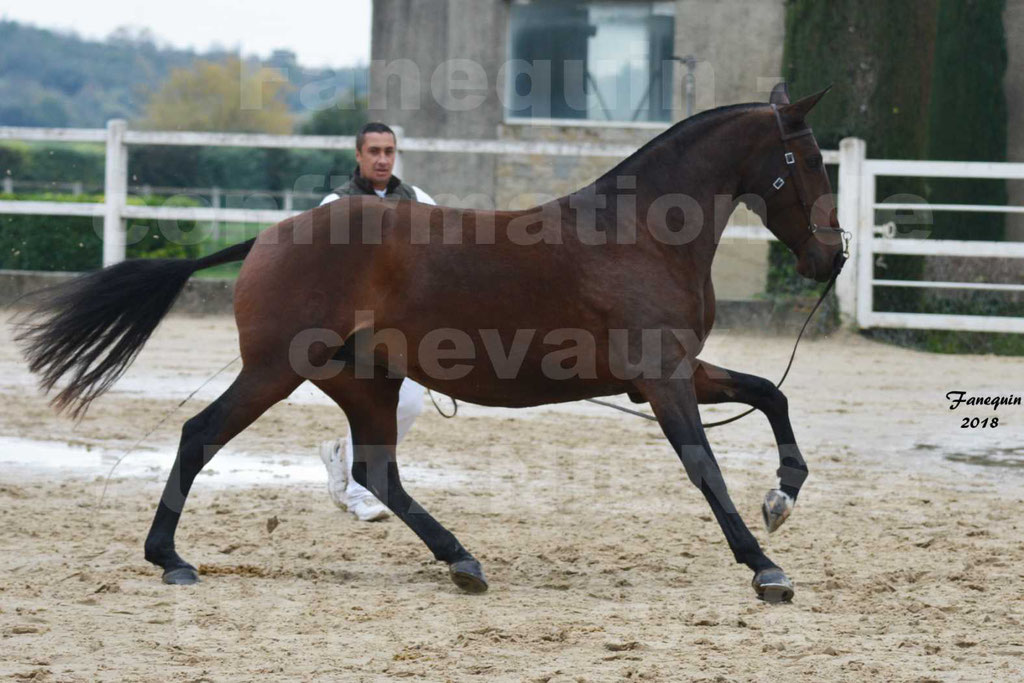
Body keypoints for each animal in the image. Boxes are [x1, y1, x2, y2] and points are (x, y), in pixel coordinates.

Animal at [18, 85, 847, 602]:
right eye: (806, 161)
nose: (831, 258)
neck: (637, 232)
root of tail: (270, 235)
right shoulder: (663, 378)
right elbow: (705, 468)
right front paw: (766, 566)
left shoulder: (671, 372)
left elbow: (770, 394)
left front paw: (783, 495)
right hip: (275, 370)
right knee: (201, 434)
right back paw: (170, 558)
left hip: (365, 383)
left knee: (377, 471)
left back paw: (461, 559)